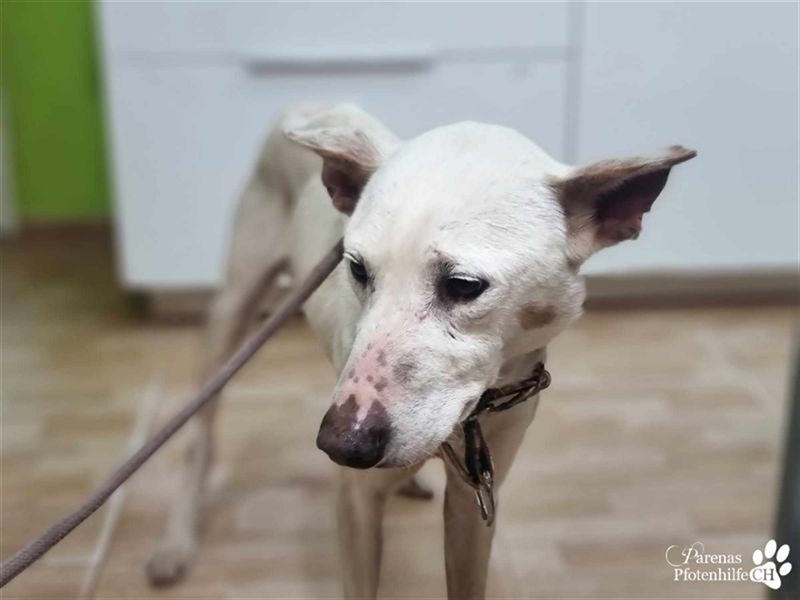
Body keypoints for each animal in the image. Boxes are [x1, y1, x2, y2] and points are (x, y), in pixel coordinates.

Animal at [146, 103, 696, 598]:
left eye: (464, 285)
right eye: (357, 268)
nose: (340, 444)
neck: (468, 420)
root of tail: (309, 102)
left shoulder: (475, 502)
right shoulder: (356, 504)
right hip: (233, 312)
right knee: (200, 434)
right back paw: (176, 542)